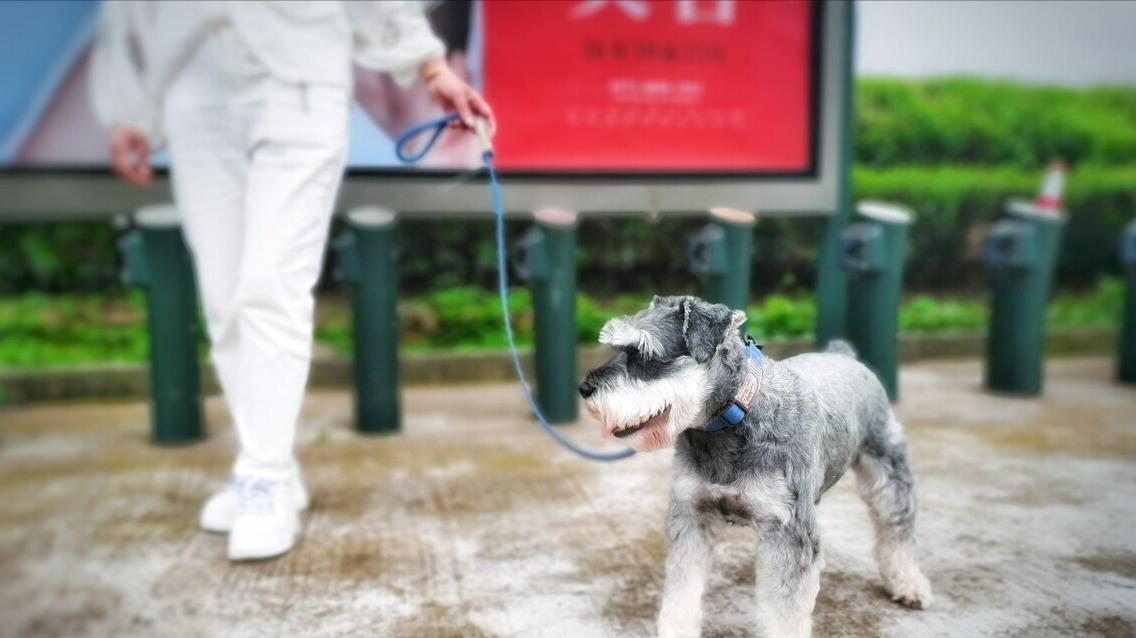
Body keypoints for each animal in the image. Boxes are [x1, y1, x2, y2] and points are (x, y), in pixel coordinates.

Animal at [581, 295, 926, 631]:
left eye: (645, 355)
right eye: (616, 349)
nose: (584, 389)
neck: (735, 415)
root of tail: (843, 355)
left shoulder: (788, 532)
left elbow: (785, 615)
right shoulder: (691, 516)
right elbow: (681, 593)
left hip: (888, 474)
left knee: (896, 530)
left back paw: (908, 583)